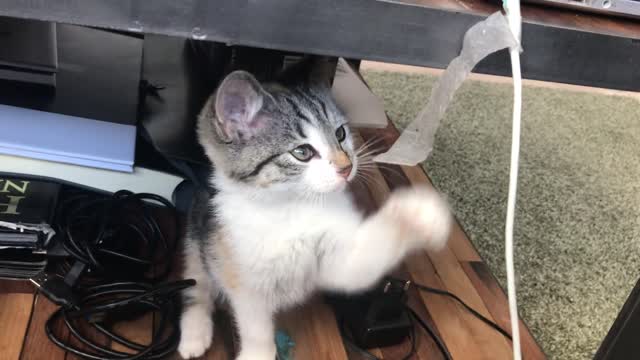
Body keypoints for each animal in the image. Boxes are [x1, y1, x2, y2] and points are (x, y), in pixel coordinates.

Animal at [178, 60, 452, 358]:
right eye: (302, 152)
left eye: (340, 134)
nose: (346, 167)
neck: (294, 204)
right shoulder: (242, 274)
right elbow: (256, 327)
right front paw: (258, 352)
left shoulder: (339, 257)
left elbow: (358, 265)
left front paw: (420, 212)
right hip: (197, 239)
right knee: (195, 284)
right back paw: (194, 335)